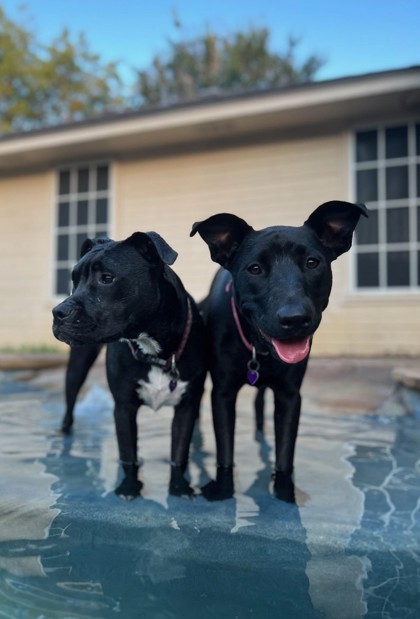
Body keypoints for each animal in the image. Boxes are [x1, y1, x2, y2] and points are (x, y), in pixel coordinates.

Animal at [52, 231, 207, 498]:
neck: (154, 349)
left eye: (107, 278)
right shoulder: (124, 407)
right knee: (70, 401)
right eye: (74, 279)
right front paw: (130, 487)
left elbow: (179, 453)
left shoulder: (186, 407)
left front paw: (179, 486)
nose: (58, 311)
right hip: (77, 367)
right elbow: (128, 454)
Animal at [191, 201, 368, 502]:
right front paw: (223, 489)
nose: (294, 318)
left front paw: (285, 492)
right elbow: (225, 448)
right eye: (254, 269)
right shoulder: (223, 393)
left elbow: (285, 451)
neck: (258, 349)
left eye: (312, 262)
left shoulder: (289, 394)